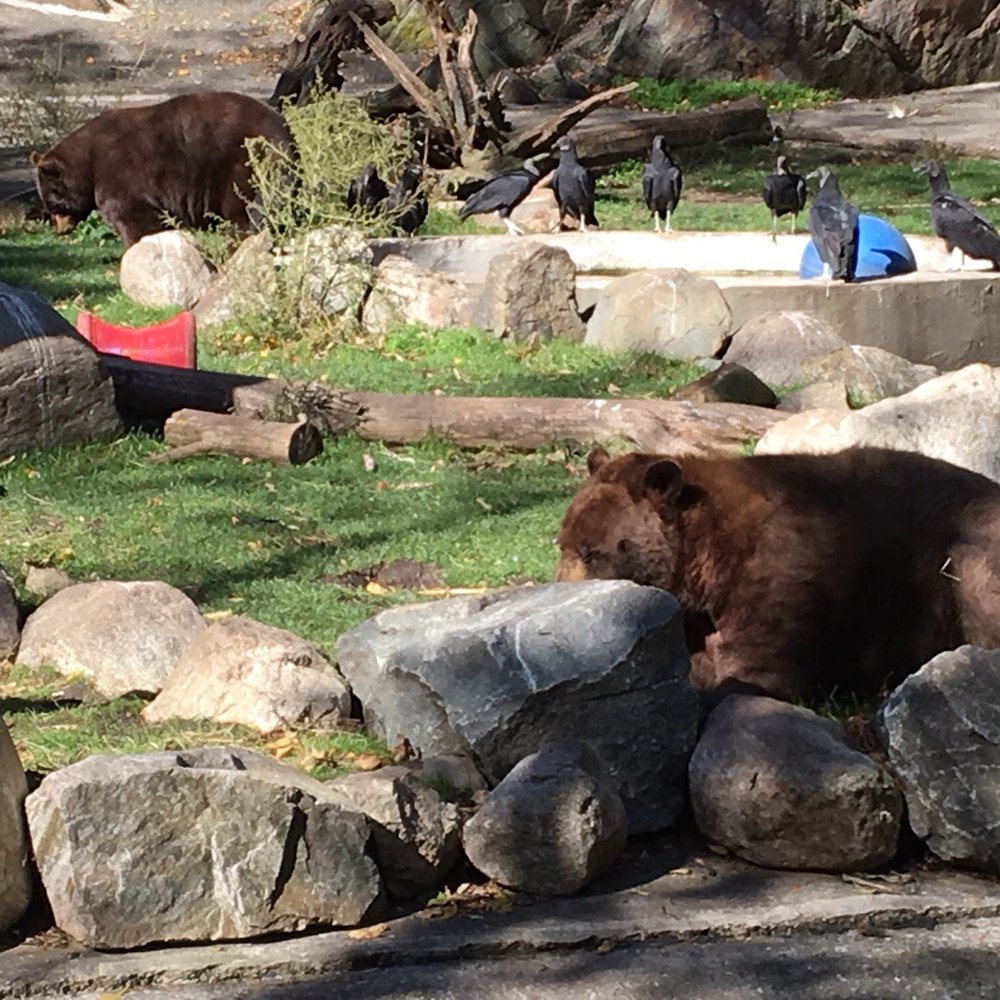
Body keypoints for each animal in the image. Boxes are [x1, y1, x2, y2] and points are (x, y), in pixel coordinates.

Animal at [30, 91, 291, 247]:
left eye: (53, 202)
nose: (60, 229)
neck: (89, 165)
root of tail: (284, 129)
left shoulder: (118, 169)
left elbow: (132, 214)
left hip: (243, 163)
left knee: (243, 209)